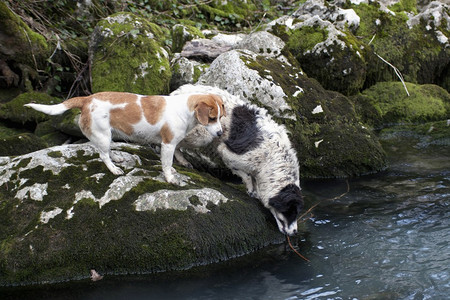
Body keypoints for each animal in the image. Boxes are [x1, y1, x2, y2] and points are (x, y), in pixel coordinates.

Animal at [24, 91, 225, 183]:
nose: (221, 133)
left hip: (108, 135)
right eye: (212, 118)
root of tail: (87, 99)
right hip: (103, 135)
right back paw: (113, 169)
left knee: (106, 150)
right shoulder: (168, 145)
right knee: (103, 155)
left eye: (221, 117)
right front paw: (169, 178)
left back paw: (117, 158)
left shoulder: (172, 145)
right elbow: (167, 164)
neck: (185, 109)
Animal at [171, 84, 304, 237]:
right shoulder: (228, 153)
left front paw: (255, 191)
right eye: (289, 211)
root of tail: (176, 92)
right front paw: (251, 190)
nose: (295, 232)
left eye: (297, 213)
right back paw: (182, 160)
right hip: (202, 135)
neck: (274, 159)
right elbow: (245, 175)